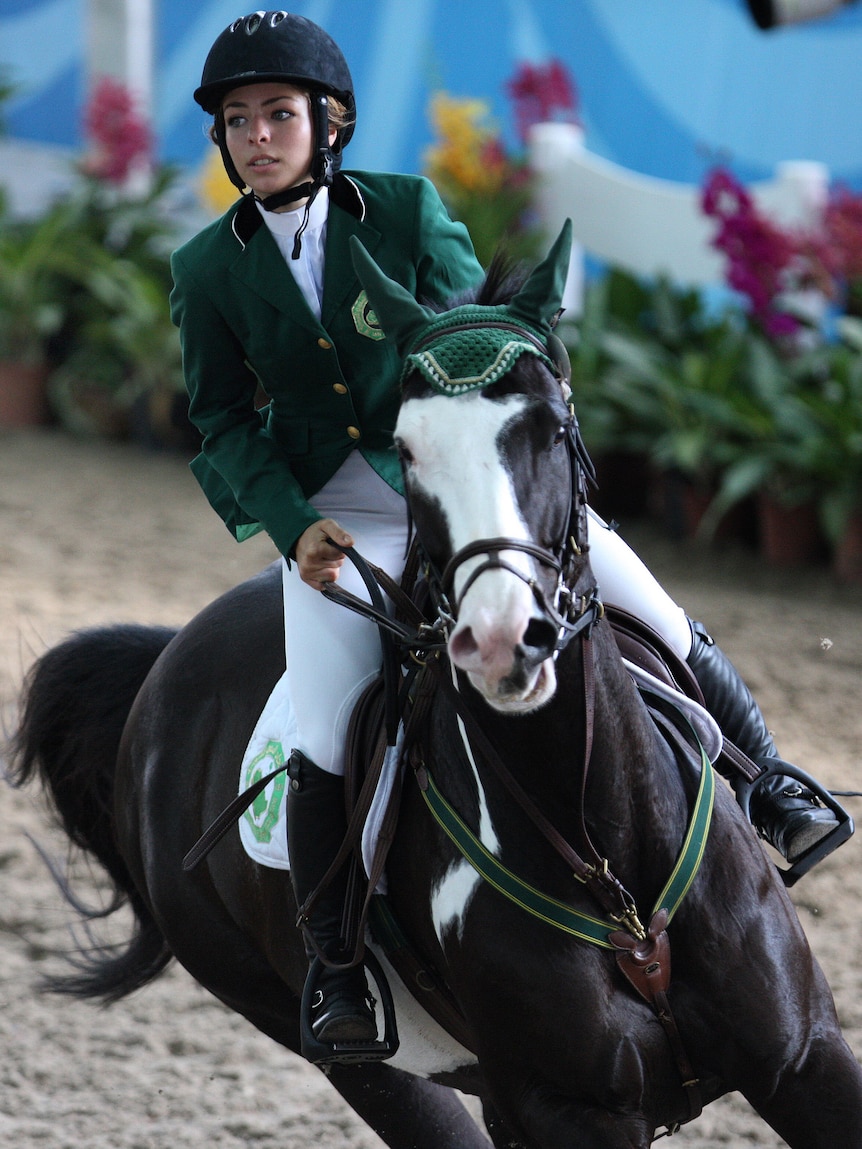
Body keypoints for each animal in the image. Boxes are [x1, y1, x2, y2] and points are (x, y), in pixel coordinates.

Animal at [10, 226, 862, 1149]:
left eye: (552, 426)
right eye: (409, 446)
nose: (501, 639)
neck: (603, 847)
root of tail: (166, 659)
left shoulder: (805, 1057)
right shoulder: (567, 1109)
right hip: (355, 1054)